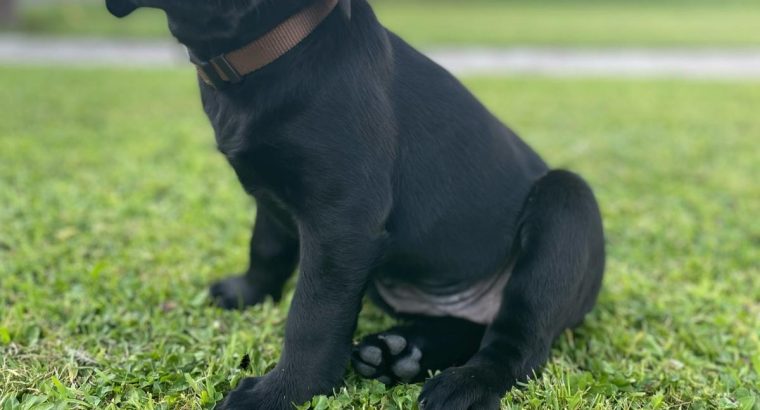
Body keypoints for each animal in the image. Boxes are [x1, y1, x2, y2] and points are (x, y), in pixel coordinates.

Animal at [107, 1, 604, 408]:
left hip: (565, 205)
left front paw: (282, 393)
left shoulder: (341, 223)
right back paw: (399, 354)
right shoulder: (274, 198)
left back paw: (464, 383)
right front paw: (247, 293)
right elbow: (265, 248)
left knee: (520, 341)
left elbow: (312, 318)